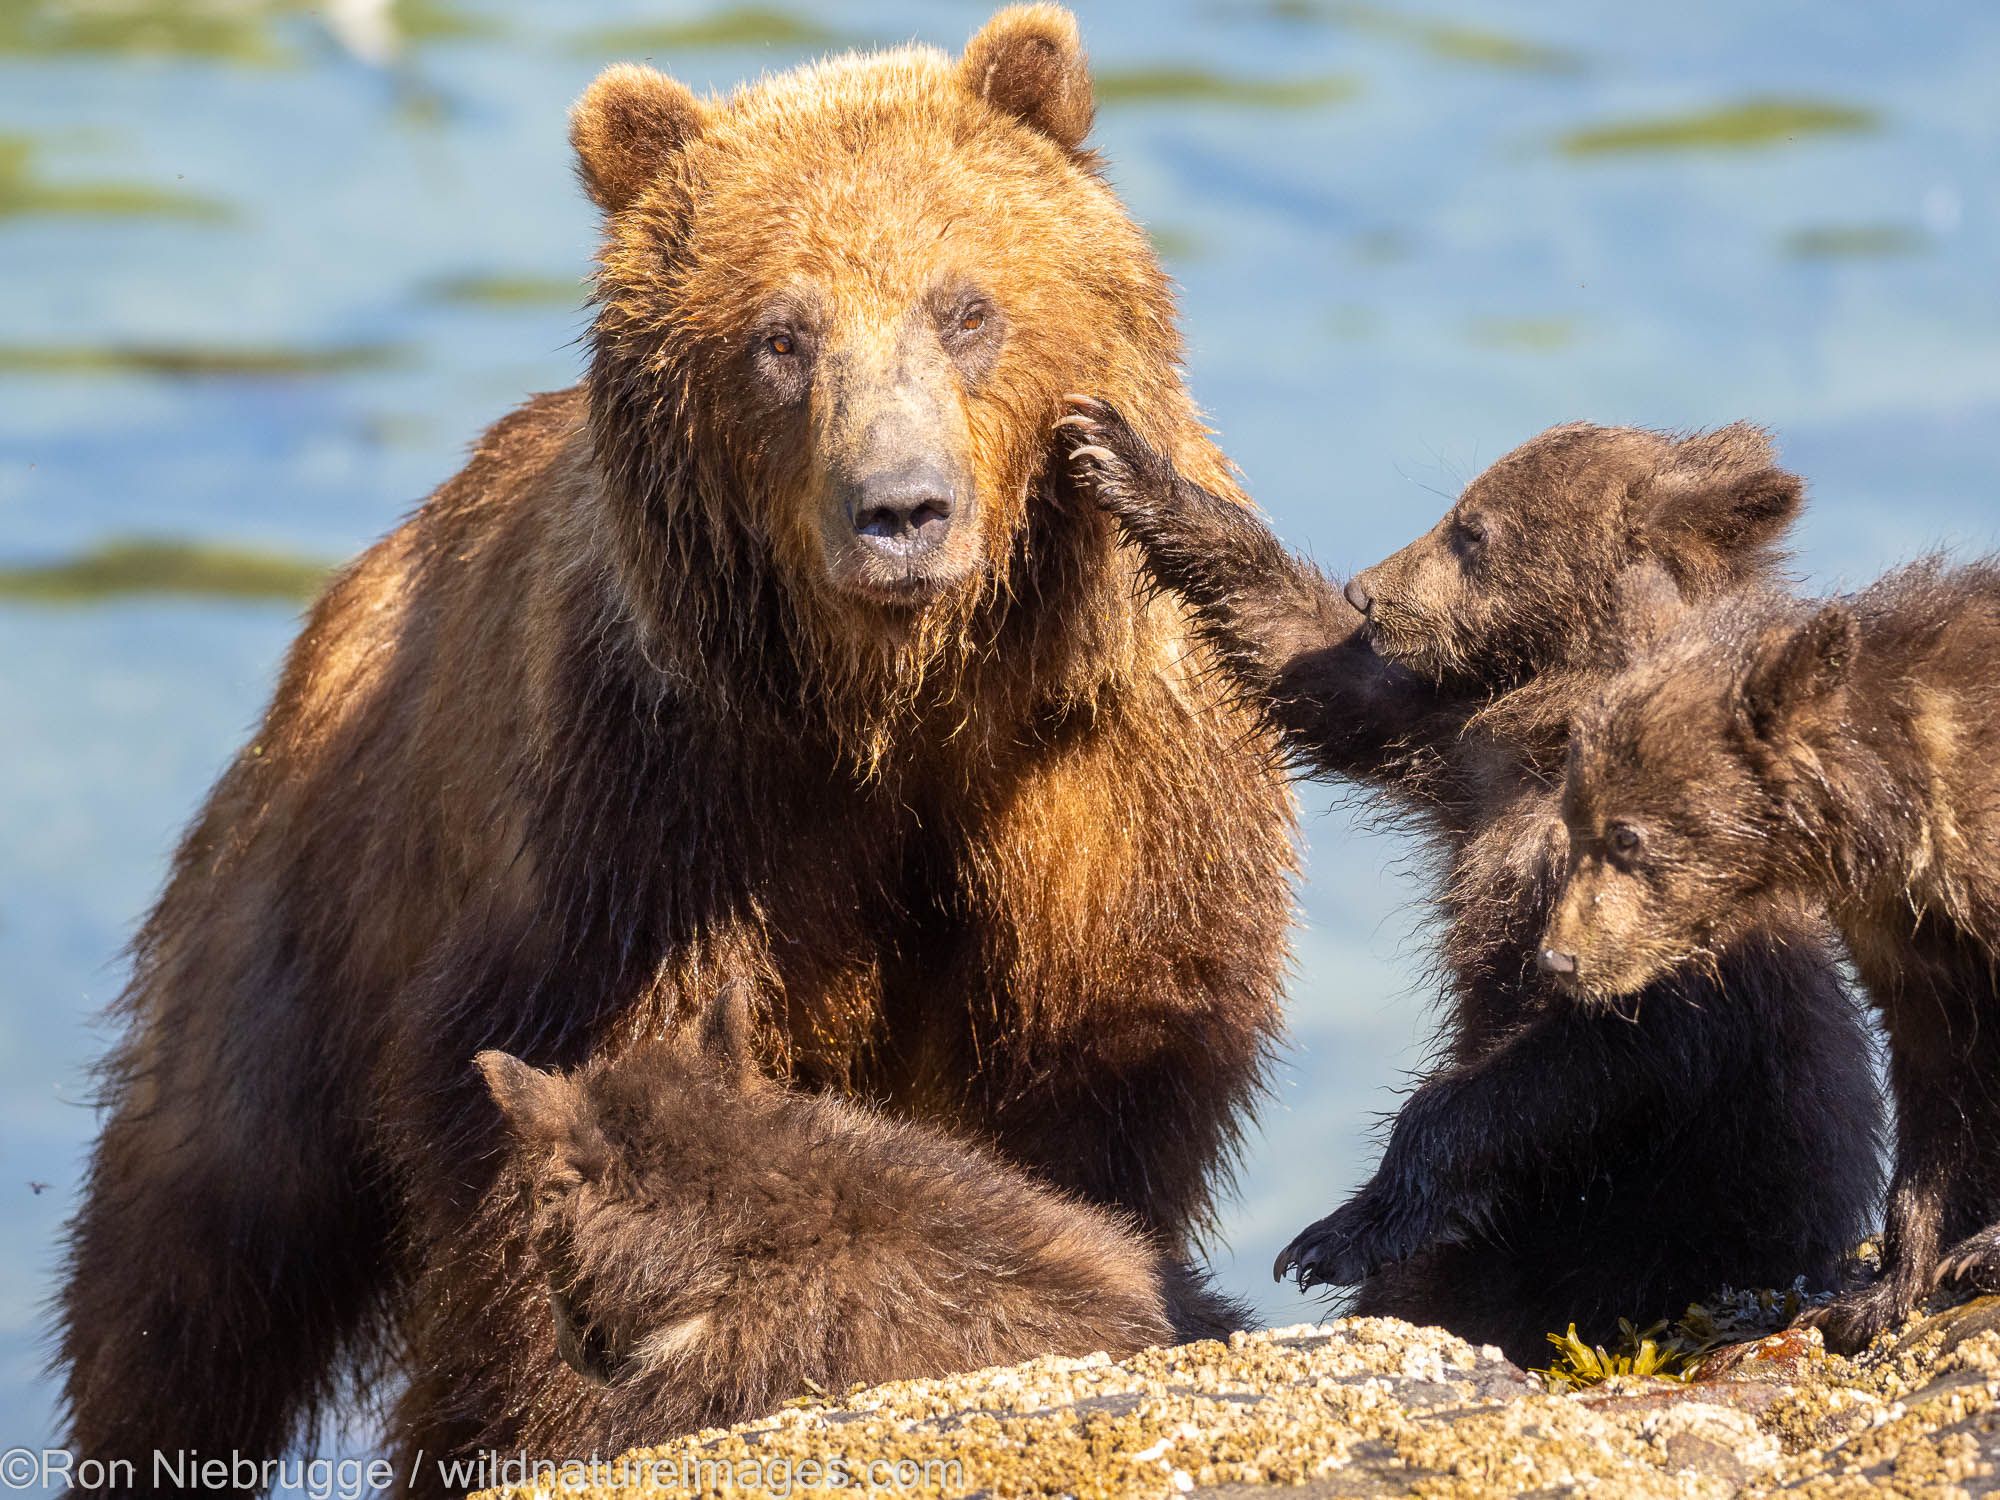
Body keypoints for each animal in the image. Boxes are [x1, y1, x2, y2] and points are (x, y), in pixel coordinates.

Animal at [58, 8, 1296, 1496]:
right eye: (781, 335)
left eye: (967, 308)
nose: (900, 510)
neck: (895, 707)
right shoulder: (663, 797)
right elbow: (566, 1106)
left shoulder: (1101, 778)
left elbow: (1104, 1060)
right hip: (315, 890)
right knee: (204, 1242)